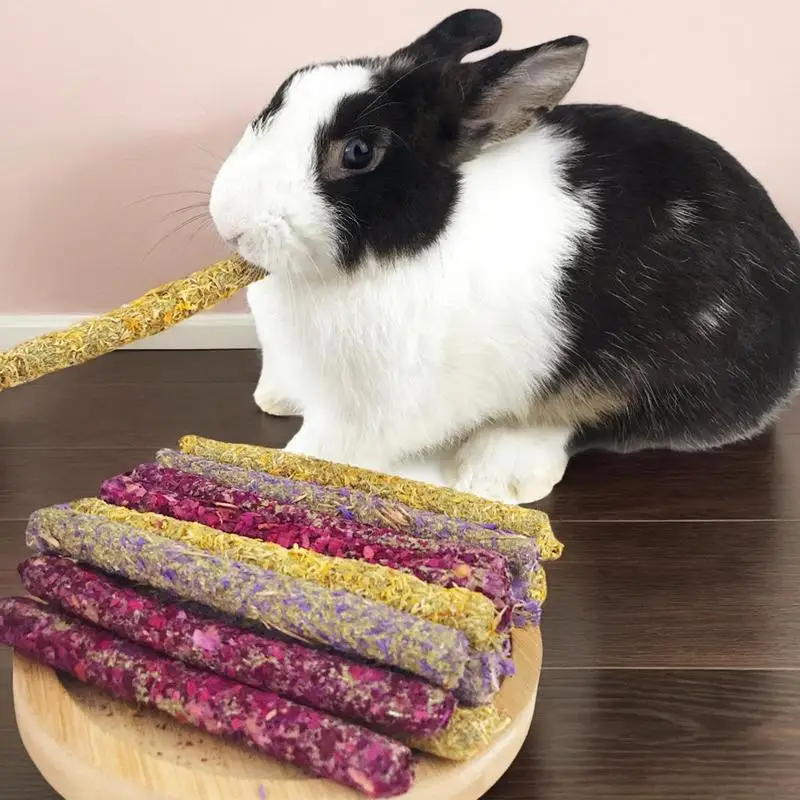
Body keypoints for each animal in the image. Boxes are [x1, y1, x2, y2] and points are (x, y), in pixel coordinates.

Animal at [208, 8, 800, 505]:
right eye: (284, 94)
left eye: (358, 153)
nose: (231, 221)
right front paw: (277, 402)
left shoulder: (371, 408)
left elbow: (331, 446)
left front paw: (287, 467)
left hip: (657, 376)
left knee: (592, 422)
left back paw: (495, 473)